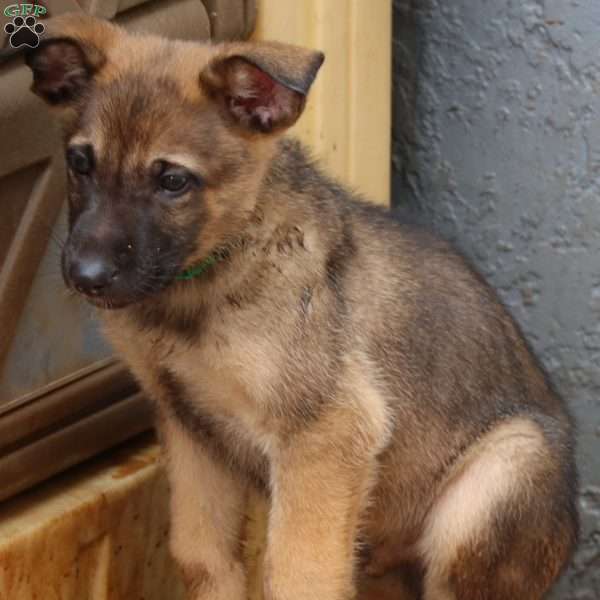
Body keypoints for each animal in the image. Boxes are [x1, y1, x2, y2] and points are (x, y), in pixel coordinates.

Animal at [25, 14, 580, 600]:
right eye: (80, 163)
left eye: (173, 180)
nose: (84, 276)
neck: (208, 277)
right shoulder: (189, 428)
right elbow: (202, 557)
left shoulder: (327, 432)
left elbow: (299, 574)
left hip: (499, 477)